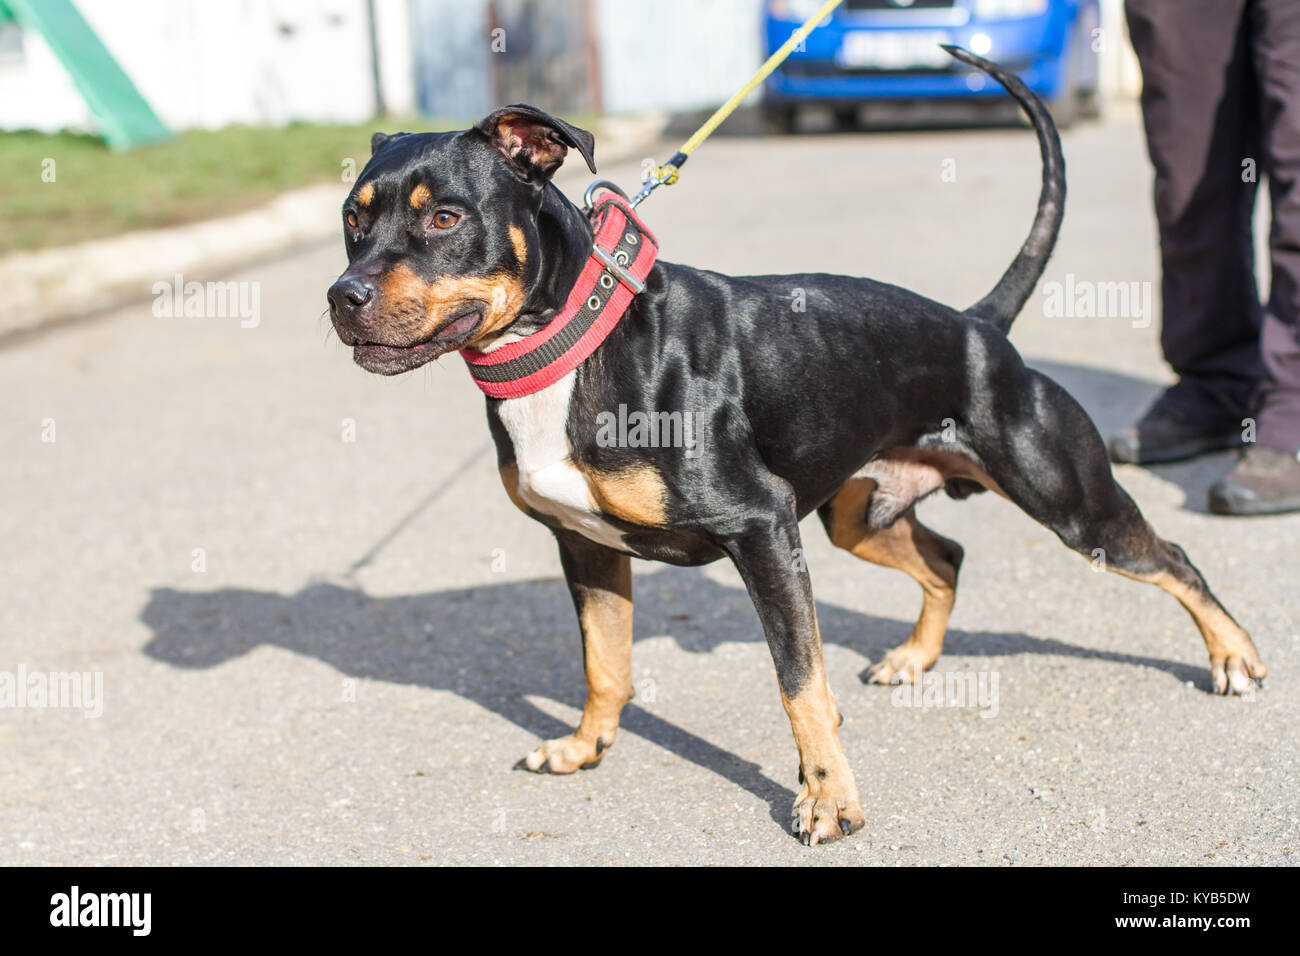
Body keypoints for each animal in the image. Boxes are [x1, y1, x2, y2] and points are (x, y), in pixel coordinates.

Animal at [327, 48, 1268, 848]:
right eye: (351, 221)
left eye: (445, 217)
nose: (342, 297)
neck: (574, 341)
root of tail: (977, 325)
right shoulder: (585, 547)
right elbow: (606, 664)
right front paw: (586, 746)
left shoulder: (762, 532)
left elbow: (799, 683)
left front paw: (831, 801)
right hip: (858, 517)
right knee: (948, 556)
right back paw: (916, 657)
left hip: (1071, 504)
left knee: (1173, 557)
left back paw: (1235, 656)